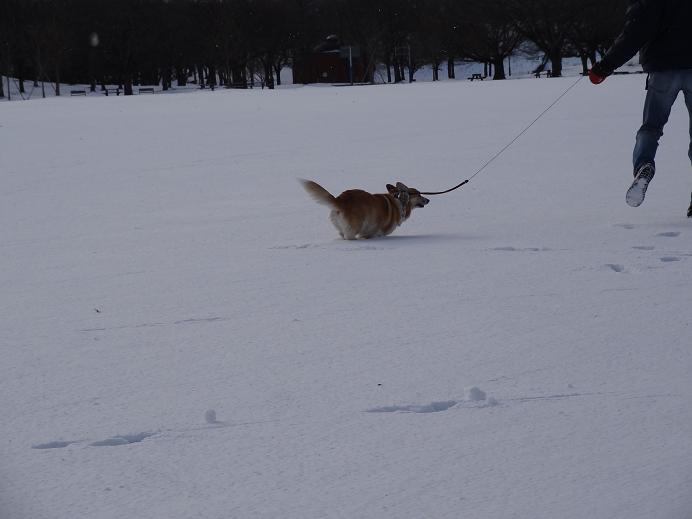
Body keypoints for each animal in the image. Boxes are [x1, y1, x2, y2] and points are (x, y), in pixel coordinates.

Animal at [302, 179, 430, 240]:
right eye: (419, 194)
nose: (428, 200)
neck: (398, 199)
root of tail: (340, 200)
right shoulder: (376, 232)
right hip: (355, 227)